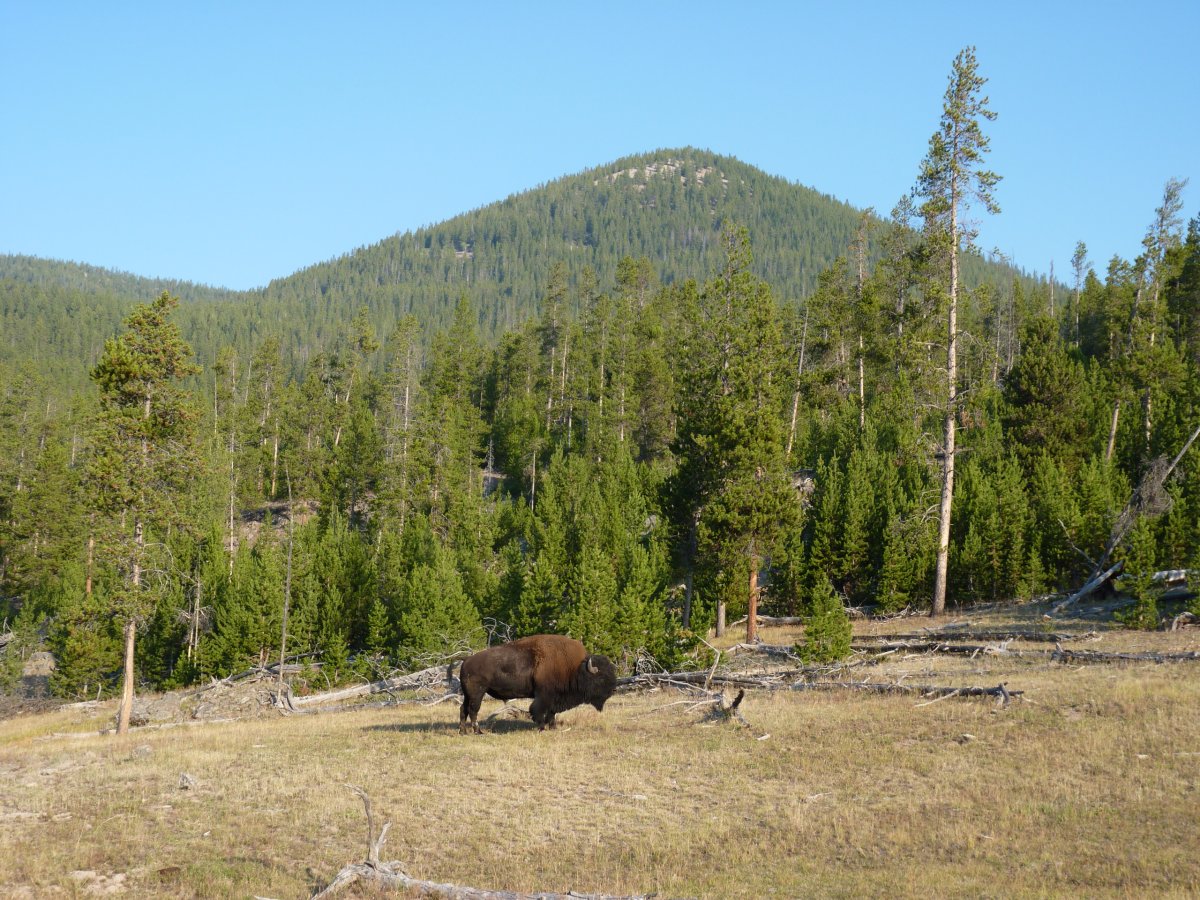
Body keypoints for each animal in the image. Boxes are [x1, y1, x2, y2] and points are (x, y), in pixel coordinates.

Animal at [453, 634, 617, 734]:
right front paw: (542, 727)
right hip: (477, 693)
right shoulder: (544, 696)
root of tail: (466, 660)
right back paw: (478, 731)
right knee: (473, 710)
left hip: (468, 694)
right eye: (601, 678)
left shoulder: (555, 698)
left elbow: (552, 713)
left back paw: (463, 732)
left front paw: (553, 727)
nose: (613, 690)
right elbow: (538, 711)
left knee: (463, 709)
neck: (576, 669)